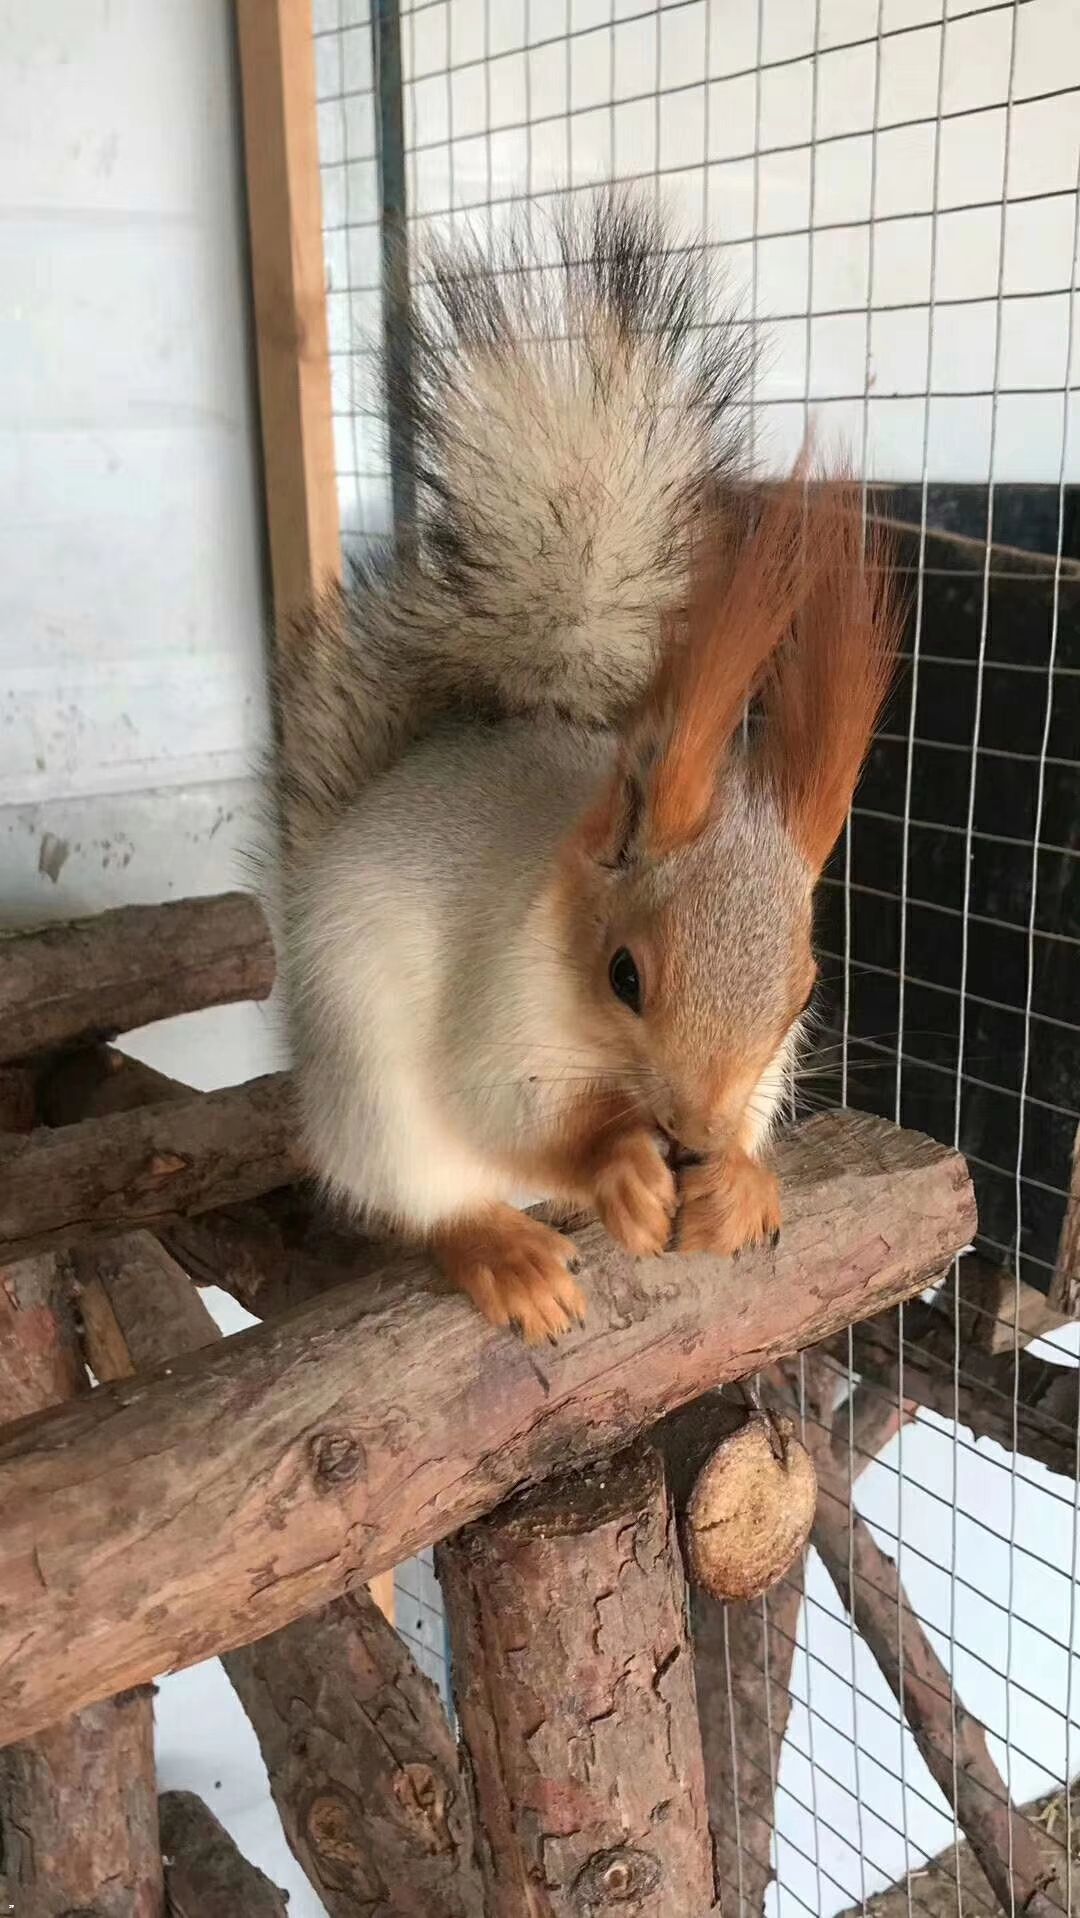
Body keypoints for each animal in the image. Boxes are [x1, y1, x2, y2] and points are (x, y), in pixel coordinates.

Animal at [270, 190, 905, 1334]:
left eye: (803, 994)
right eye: (625, 977)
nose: (693, 1134)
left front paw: (739, 1179)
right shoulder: (499, 1005)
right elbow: (506, 1110)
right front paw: (616, 1165)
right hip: (372, 1095)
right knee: (432, 1194)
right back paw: (504, 1249)